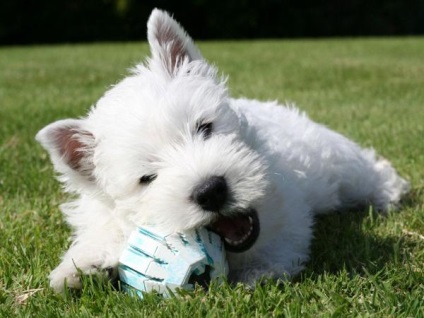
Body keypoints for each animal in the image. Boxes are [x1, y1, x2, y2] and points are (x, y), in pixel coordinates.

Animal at [38, 9, 410, 294]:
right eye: (147, 178)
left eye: (205, 128)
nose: (211, 191)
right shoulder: (101, 211)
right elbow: (103, 231)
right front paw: (81, 269)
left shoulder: (288, 209)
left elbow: (284, 239)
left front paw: (258, 273)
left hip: (336, 163)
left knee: (366, 170)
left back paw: (389, 193)